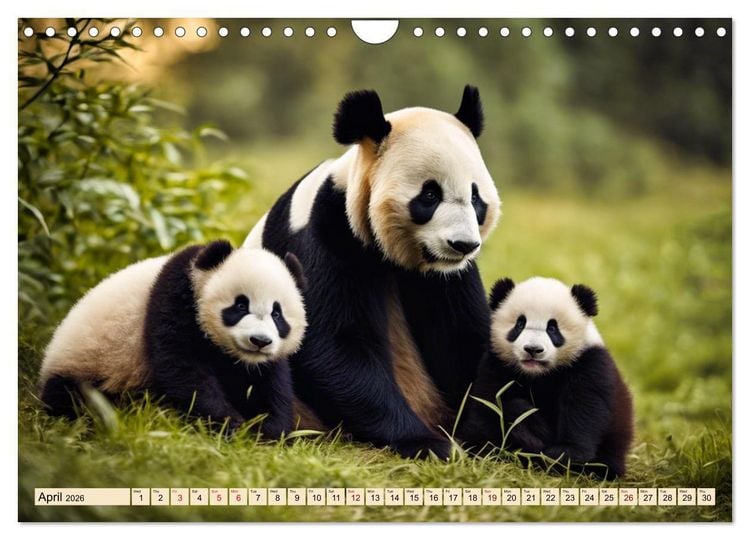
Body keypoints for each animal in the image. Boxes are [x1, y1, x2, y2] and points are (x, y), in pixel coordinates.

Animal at [38, 240, 307, 439]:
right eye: (241, 305)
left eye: (277, 314)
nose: (260, 341)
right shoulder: (174, 299)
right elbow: (183, 367)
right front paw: (229, 426)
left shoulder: (258, 363)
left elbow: (270, 384)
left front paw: (267, 432)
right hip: (88, 366)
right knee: (74, 398)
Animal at [244, 85, 502, 459]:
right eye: (430, 194)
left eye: (475, 197)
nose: (463, 245)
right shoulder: (324, 234)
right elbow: (334, 345)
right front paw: (428, 443)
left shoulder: (449, 277)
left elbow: (465, 339)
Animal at [457, 277, 634, 478]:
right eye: (520, 324)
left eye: (552, 328)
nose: (533, 349)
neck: (538, 374)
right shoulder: (497, 364)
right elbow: (487, 405)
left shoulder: (588, 365)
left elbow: (584, 412)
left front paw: (557, 455)